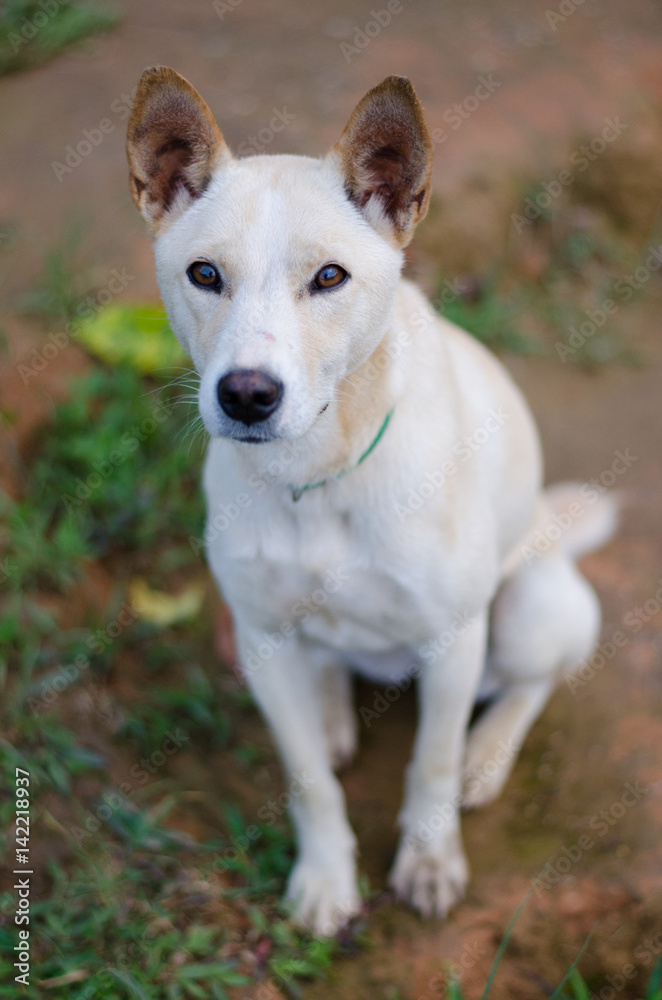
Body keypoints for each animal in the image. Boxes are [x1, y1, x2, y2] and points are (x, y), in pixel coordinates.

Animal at [128, 66, 616, 932]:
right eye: (204, 274)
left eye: (329, 277)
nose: (246, 395)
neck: (320, 474)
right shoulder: (261, 639)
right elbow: (308, 782)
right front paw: (326, 880)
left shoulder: (454, 642)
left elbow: (431, 763)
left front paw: (430, 860)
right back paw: (330, 712)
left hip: (530, 608)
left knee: (531, 685)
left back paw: (489, 755)